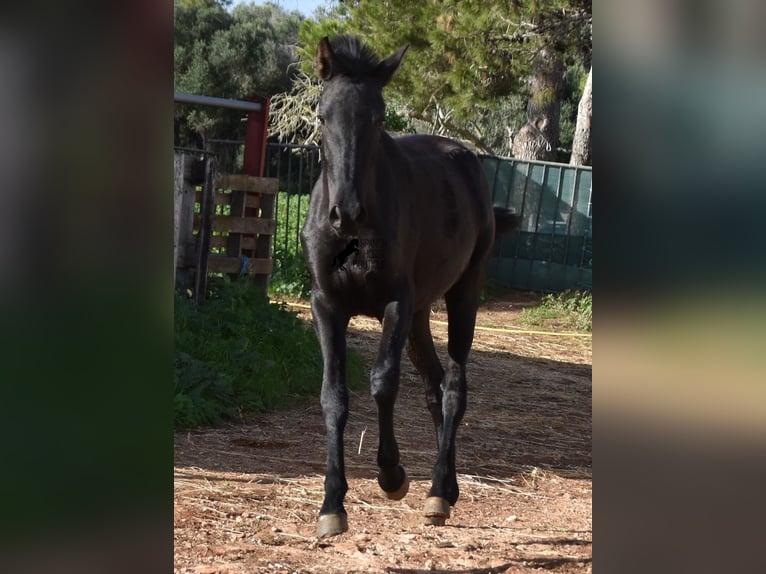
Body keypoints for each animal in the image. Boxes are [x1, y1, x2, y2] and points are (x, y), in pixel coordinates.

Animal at [302, 37, 520, 540]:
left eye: (379, 117)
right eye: (322, 115)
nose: (347, 212)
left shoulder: (395, 304)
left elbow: (383, 384)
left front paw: (392, 475)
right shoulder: (327, 305)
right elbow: (333, 395)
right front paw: (331, 505)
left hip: (463, 295)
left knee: (455, 385)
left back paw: (438, 492)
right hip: (422, 314)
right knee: (434, 386)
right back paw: (449, 487)